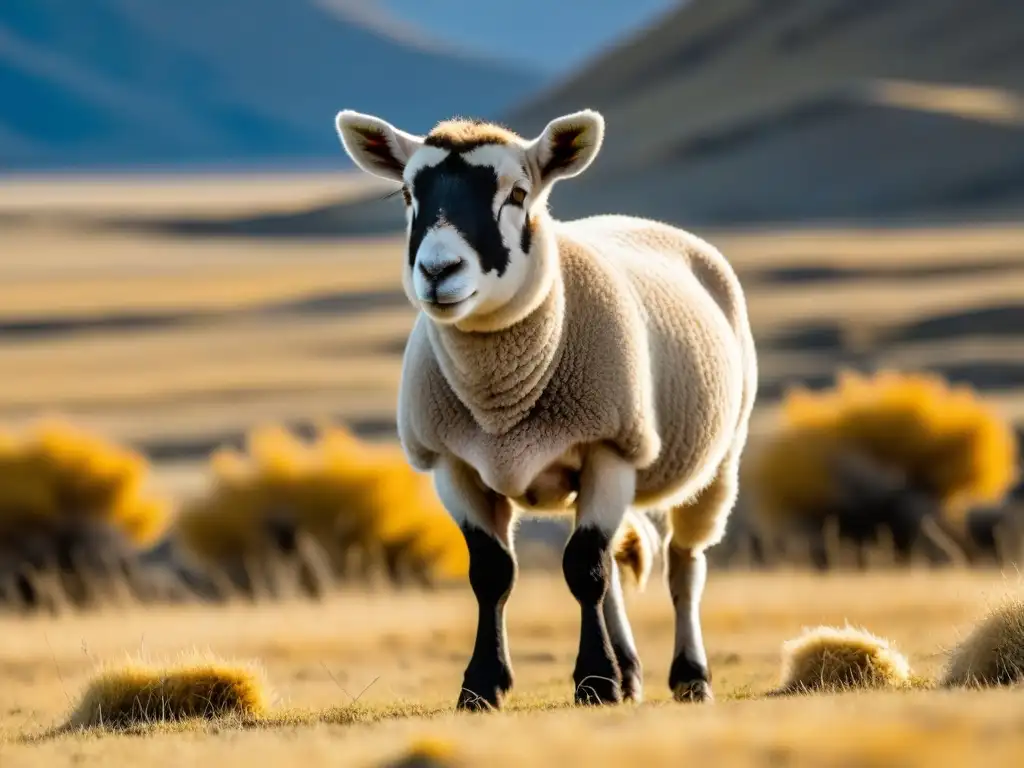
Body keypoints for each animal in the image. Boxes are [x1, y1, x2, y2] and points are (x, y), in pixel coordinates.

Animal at [331, 107, 757, 708]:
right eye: (409, 194)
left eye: (517, 192)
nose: (438, 271)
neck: (500, 405)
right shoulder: (453, 466)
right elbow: (493, 573)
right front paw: (483, 685)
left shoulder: (609, 448)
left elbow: (584, 569)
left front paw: (595, 681)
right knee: (620, 561)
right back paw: (631, 670)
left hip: (719, 463)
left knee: (683, 568)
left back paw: (690, 676)